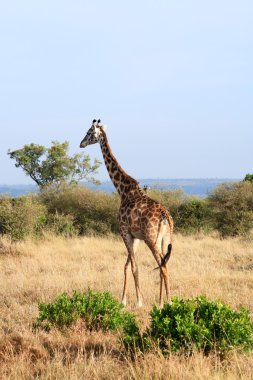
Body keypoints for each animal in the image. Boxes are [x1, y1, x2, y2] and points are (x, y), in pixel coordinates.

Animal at [80, 119, 173, 308]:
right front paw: (124, 300)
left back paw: (164, 303)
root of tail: (165, 216)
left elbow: (133, 267)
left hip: (151, 239)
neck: (122, 190)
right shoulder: (135, 236)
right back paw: (167, 301)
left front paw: (138, 302)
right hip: (165, 238)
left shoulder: (124, 231)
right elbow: (127, 265)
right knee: (165, 264)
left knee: (162, 265)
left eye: (88, 132)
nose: (81, 143)